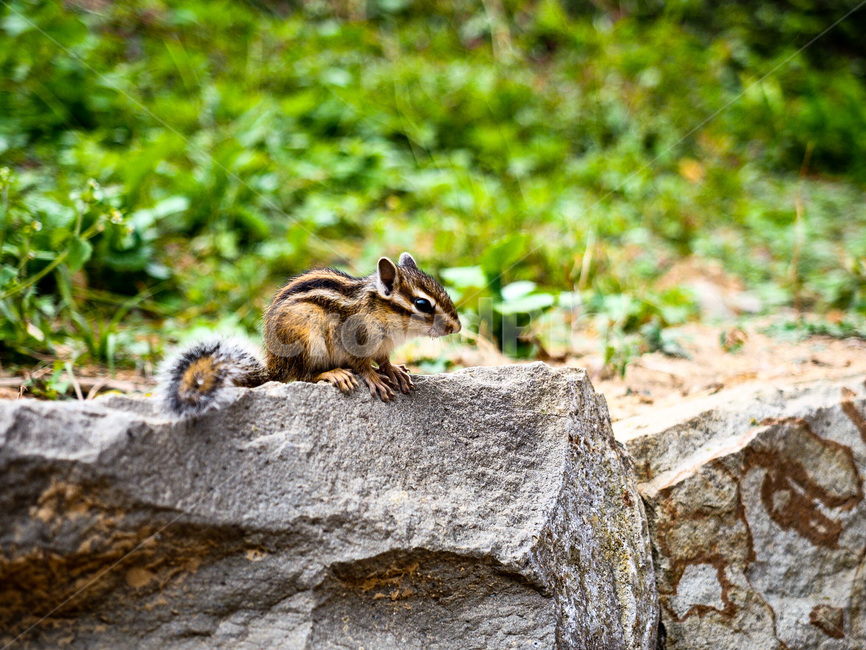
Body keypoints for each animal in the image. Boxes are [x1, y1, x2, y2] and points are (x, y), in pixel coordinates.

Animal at [158, 252, 461, 417]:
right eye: (422, 304)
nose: (457, 328)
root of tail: (274, 368)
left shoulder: (384, 347)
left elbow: (385, 360)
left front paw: (395, 371)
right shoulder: (356, 339)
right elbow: (362, 364)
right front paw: (374, 378)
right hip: (307, 337)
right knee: (301, 376)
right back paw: (332, 374)